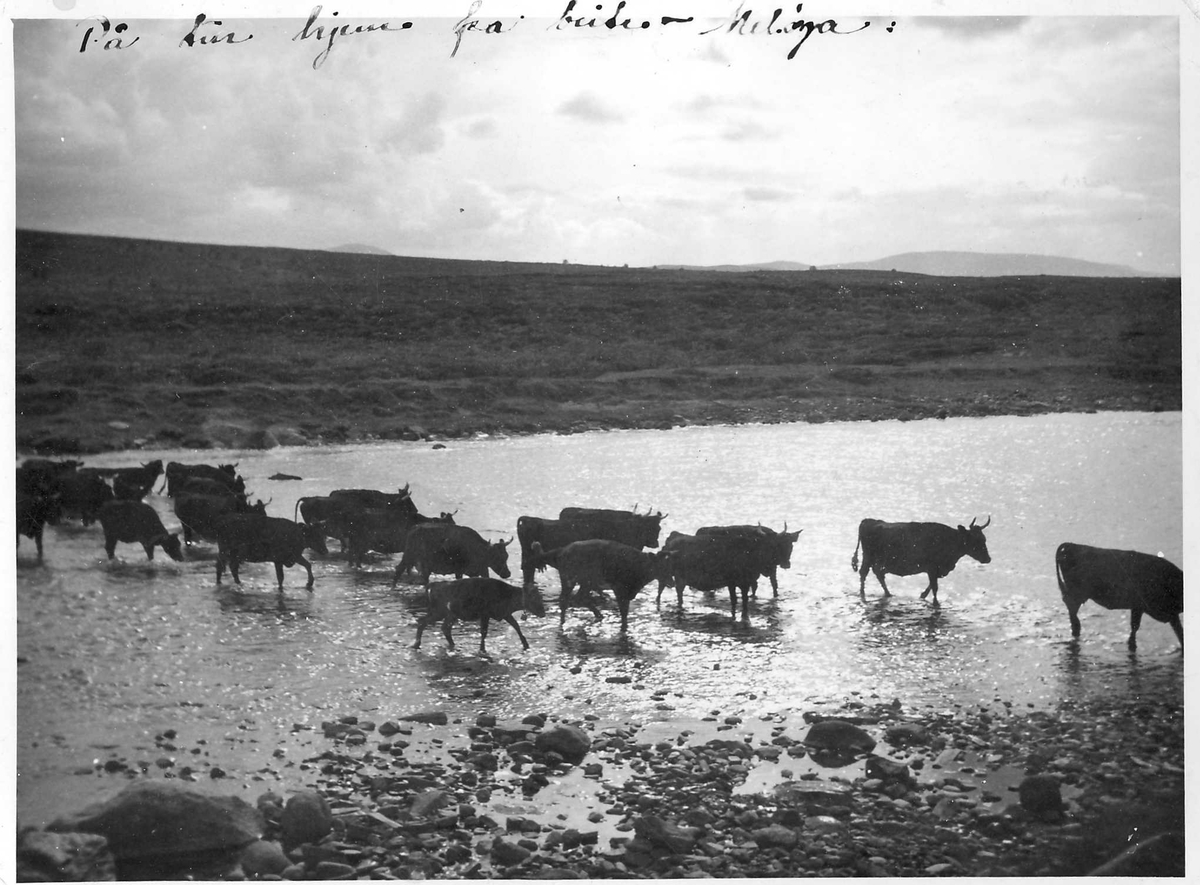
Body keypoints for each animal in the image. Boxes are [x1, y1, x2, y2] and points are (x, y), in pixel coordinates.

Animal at [410, 575, 547, 652]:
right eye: (534, 598)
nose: (543, 613)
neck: (508, 593)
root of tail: (433, 585)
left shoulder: (505, 614)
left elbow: (516, 626)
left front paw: (526, 644)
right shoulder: (485, 615)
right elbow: (484, 632)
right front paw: (482, 649)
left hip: (449, 615)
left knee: (443, 628)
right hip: (439, 613)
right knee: (423, 622)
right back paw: (416, 644)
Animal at [532, 537, 672, 628]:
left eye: (670, 566)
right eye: (661, 566)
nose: (672, 582)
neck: (639, 564)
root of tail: (561, 551)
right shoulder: (620, 590)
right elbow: (624, 611)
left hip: (585, 583)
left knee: (580, 597)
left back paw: (599, 615)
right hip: (570, 580)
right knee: (565, 600)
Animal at [854, 513, 993, 604]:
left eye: (984, 539)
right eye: (975, 540)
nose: (988, 559)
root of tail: (869, 520)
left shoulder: (937, 569)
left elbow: (932, 584)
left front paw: (923, 595)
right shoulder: (932, 568)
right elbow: (935, 586)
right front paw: (935, 602)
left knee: (878, 574)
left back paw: (888, 593)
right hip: (868, 557)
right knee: (864, 573)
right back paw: (863, 593)